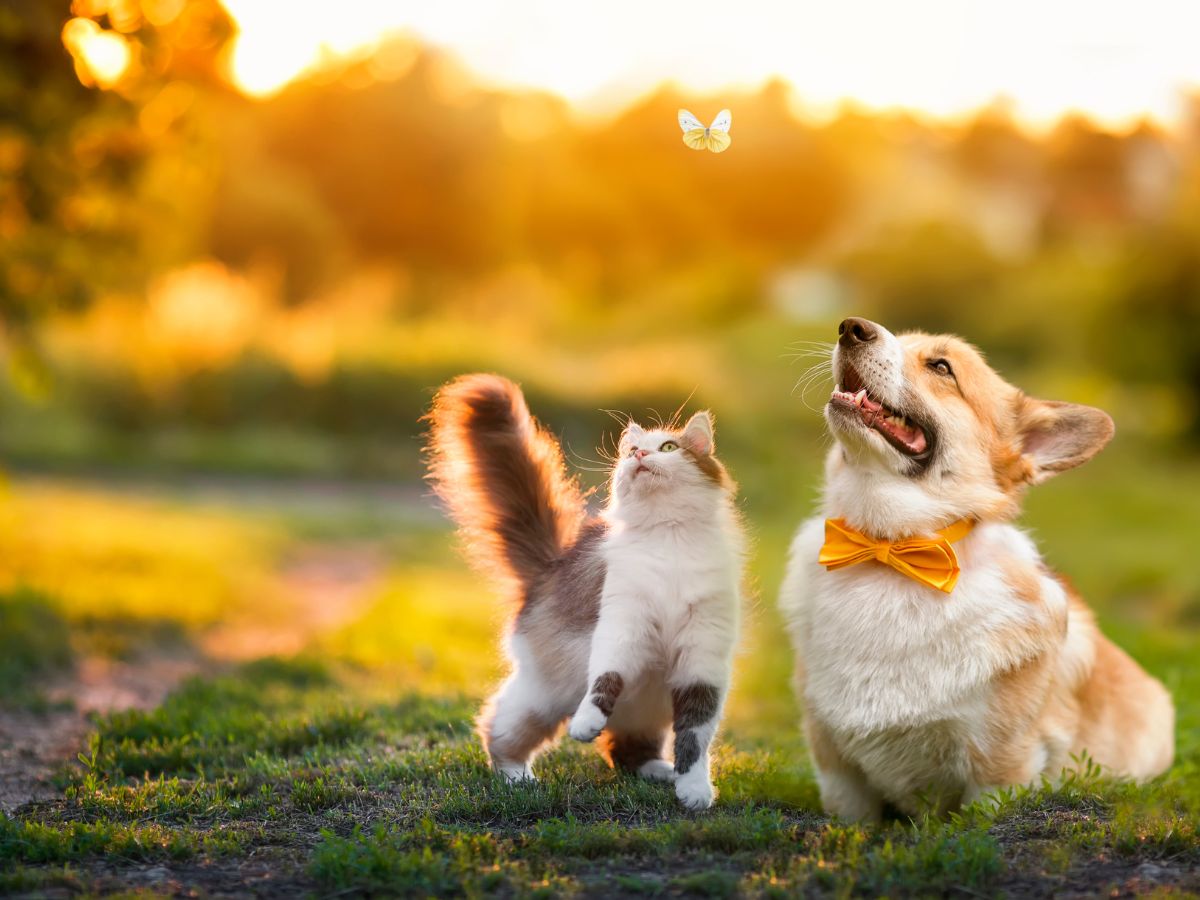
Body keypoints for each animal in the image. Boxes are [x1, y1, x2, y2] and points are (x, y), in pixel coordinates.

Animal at [422, 374, 739, 811]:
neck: (668, 537)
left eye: (669, 448)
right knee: (498, 729)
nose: (640, 453)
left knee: (626, 750)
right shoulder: (622, 625)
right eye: (630, 452)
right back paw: (517, 776)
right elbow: (604, 680)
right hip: (544, 695)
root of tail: (552, 564)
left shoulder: (702, 659)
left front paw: (693, 789)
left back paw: (657, 770)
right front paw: (586, 724)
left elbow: (695, 734)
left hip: (649, 703)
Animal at [777, 316, 1171, 825]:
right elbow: (851, 818)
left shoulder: (999, 769)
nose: (851, 327)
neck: (891, 546)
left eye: (942, 367)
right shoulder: (837, 769)